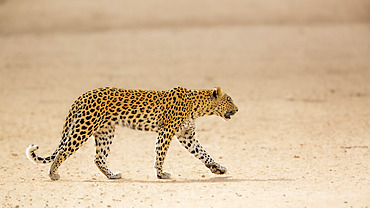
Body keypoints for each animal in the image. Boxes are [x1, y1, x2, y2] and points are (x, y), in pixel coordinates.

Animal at [26, 86, 240, 180]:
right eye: (229, 100)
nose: (237, 109)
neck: (197, 106)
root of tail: (83, 95)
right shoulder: (167, 131)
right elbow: (160, 153)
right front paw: (161, 174)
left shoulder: (186, 135)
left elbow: (203, 153)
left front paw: (218, 168)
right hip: (84, 127)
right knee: (64, 151)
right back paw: (53, 173)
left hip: (105, 132)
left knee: (99, 158)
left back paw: (112, 175)